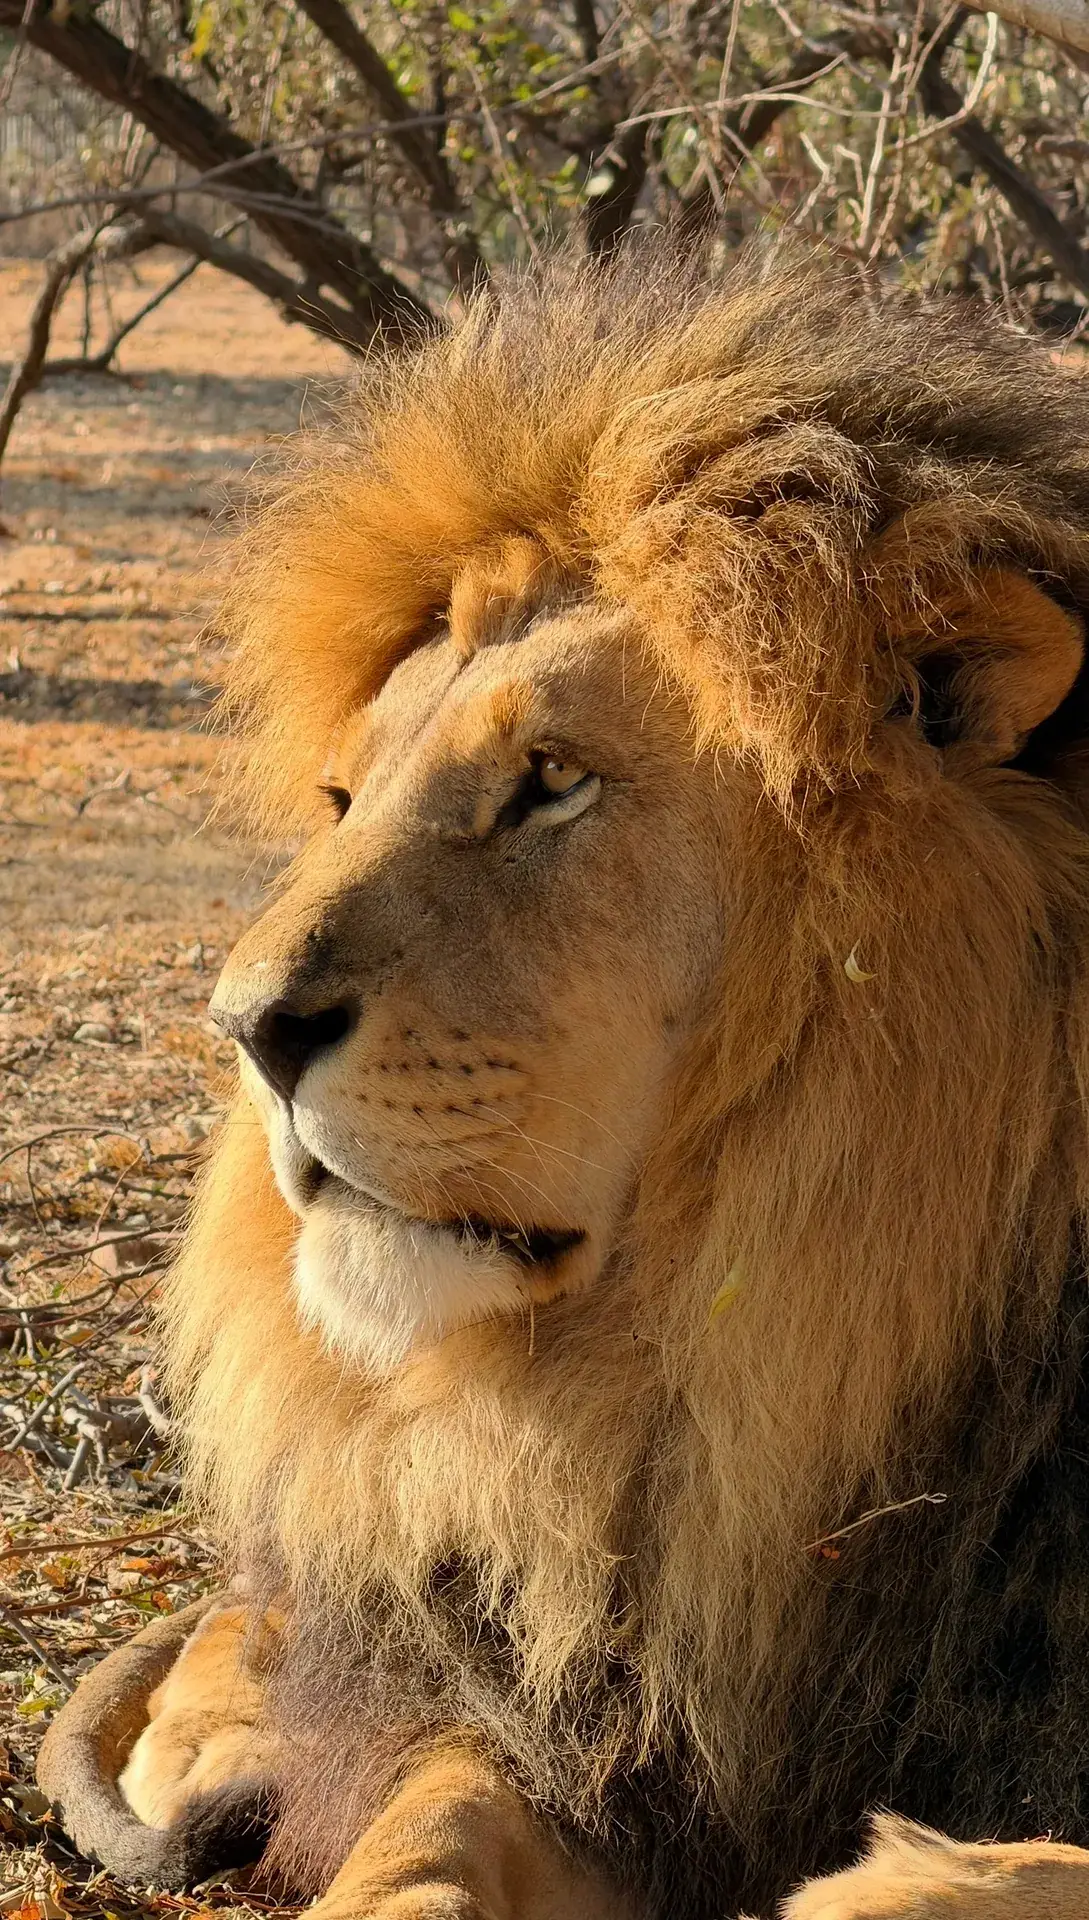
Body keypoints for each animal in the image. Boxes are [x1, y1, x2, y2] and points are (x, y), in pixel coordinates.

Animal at [34, 248, 1089, 1918]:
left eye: (551, 784)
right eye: (344, 796)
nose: (243, 1028)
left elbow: (1010, 1864)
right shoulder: (595, 1730)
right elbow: (430, 1818)